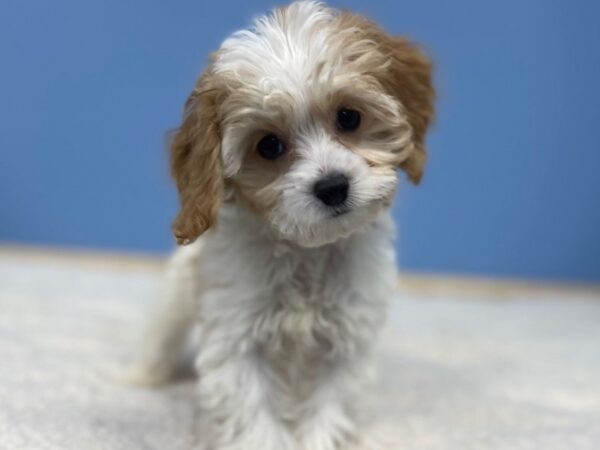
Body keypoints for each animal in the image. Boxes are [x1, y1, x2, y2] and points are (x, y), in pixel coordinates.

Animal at [129, 1, 434, 448]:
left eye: (349, 118)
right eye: (269, 145)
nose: (332, 187)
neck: (307, 252)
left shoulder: (345, 341)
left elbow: (327, 410)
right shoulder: (237, 339)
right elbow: (254, 418)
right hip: (178, 293)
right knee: (161, 336)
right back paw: (142, 377)